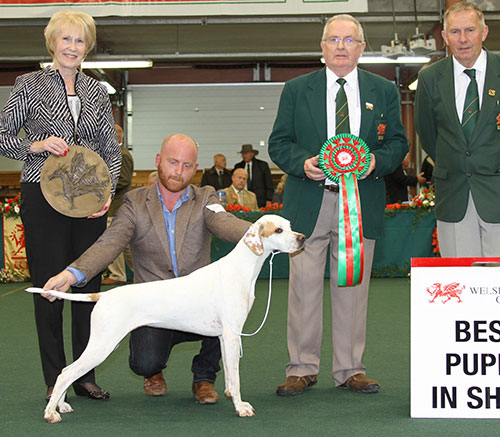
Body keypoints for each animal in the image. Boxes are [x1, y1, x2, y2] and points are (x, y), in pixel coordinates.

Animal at [27, 215, 304, 422]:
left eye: (290, 225)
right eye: (279, 229)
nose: (302, 238)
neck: (241, 269)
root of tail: (102, 296)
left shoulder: (226, 338)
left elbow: (229, 375)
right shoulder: (232, 334)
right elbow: (235, 380)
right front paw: (241, 407)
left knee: (67, 372)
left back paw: (61, 406)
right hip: (102, 345)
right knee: (65, 373)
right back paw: (51, 412)